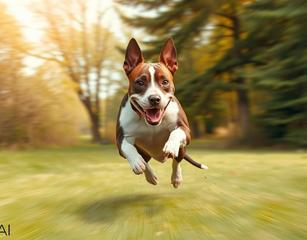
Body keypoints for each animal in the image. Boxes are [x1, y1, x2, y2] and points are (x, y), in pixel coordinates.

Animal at [116, 38, 208, 188]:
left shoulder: (185, 130)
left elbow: (176, 133)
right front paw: (136, 161)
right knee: (145, 161)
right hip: (144, 152)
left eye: (164, 82)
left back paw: (176, 178)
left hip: (182, 149)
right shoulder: (121, 138)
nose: (154, 98)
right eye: (140, 82)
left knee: (177, 161)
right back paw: (150, 175)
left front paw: (171, 145)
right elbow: (127, 147)